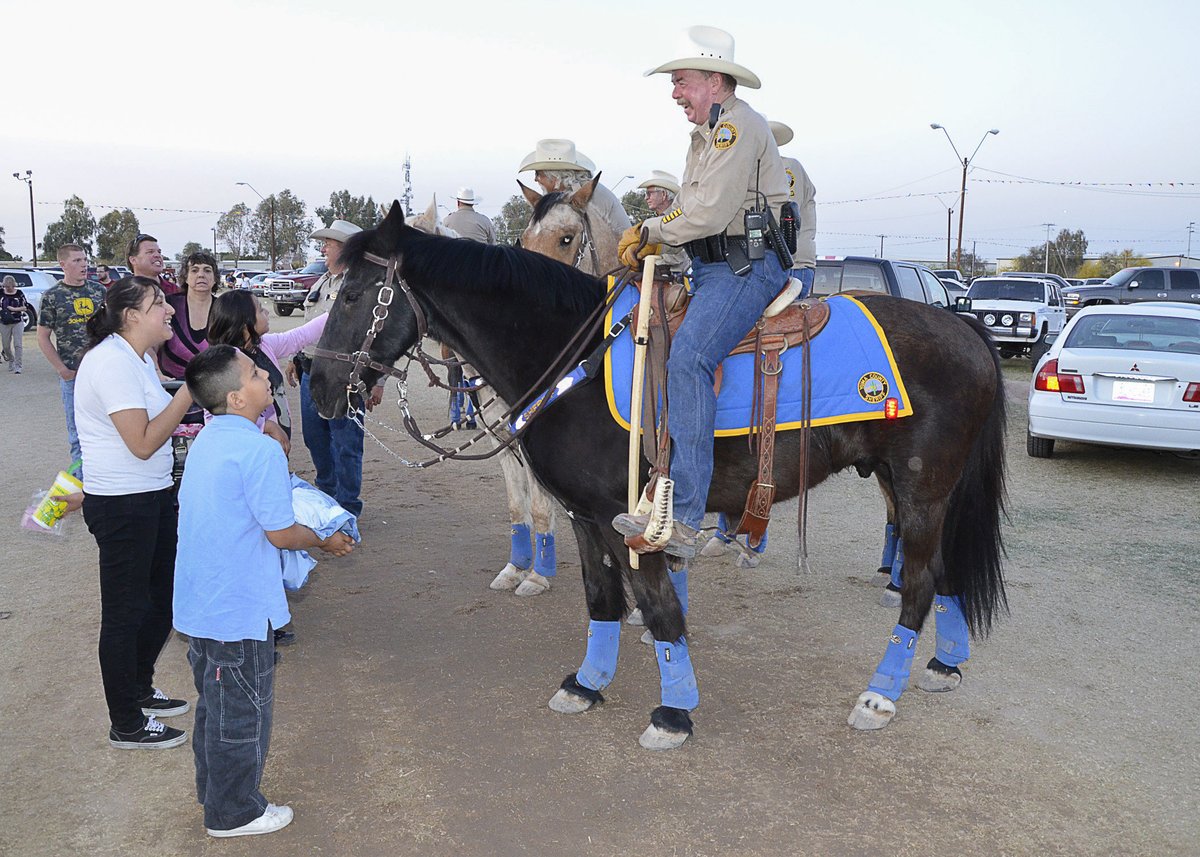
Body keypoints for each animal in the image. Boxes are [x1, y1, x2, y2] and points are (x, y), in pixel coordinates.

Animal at [307, 205, 1003, 748]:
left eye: (352, 294)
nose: (316, 383)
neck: (574, 357)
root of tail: (962, 323)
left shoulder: (631, 523)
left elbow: (662, 611)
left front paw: (673, 712)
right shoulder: (584, 515)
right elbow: (602, 601)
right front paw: (587, 684)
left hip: (919, 489)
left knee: (918, 583)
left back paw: (880, 696)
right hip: (913, 488)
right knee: (944, 573)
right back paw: (943, 664)